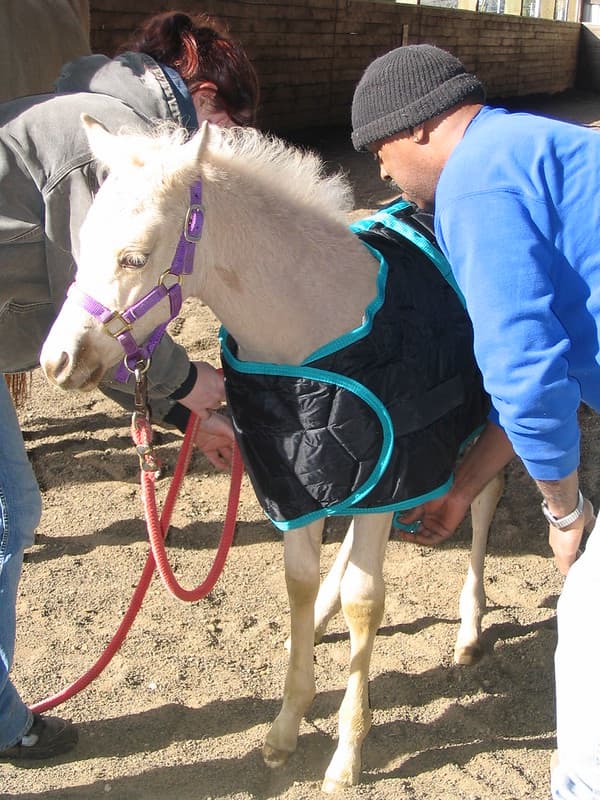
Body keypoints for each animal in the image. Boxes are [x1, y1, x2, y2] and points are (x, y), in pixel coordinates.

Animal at [40, 116, 505, 794]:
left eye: (134, 256)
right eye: (80, 247)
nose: (56, 362)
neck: (312, 333)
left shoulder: (393, 474)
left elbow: (368, 601)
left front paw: (346, 756)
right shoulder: (297, 480)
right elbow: (301, 582)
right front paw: (285, 727)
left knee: (485, 496)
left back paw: (470, 630)